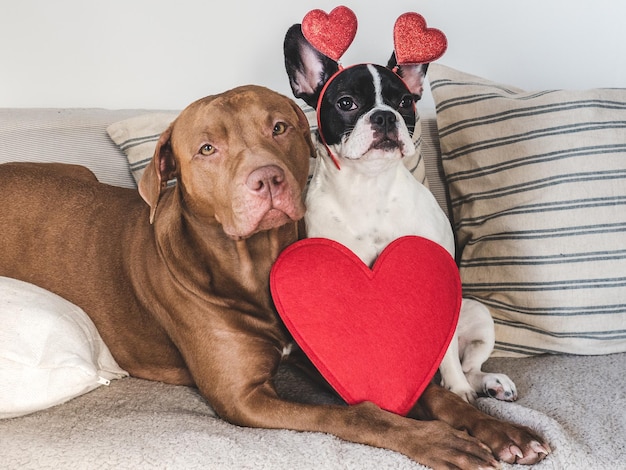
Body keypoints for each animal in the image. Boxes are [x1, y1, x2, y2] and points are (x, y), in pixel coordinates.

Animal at [0, 86, 544, 468]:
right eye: (206, 149)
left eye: (279, 127)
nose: (267, 179)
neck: (254, 263)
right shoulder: (244, 399)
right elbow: (358, 411)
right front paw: (439, 441)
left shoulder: (322, 353)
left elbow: (428, 389)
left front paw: (496, 429)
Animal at [286, 23, 516, 402]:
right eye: (346, 102)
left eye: (405, 102)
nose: (384, 115)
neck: (368, 186)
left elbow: (447, 353)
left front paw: (457, 390)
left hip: (477, 315)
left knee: (469, 364)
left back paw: (486, 383)